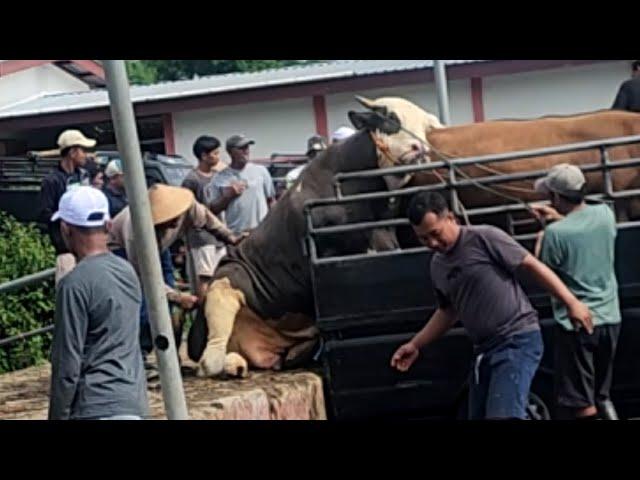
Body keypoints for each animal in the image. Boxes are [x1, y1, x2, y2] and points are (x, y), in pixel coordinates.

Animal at [188, 97, 442, 378]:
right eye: (390, 118)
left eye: (425, 126)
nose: (420, 148)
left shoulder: (384, 238)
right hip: (226, 279)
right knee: (211, 357)